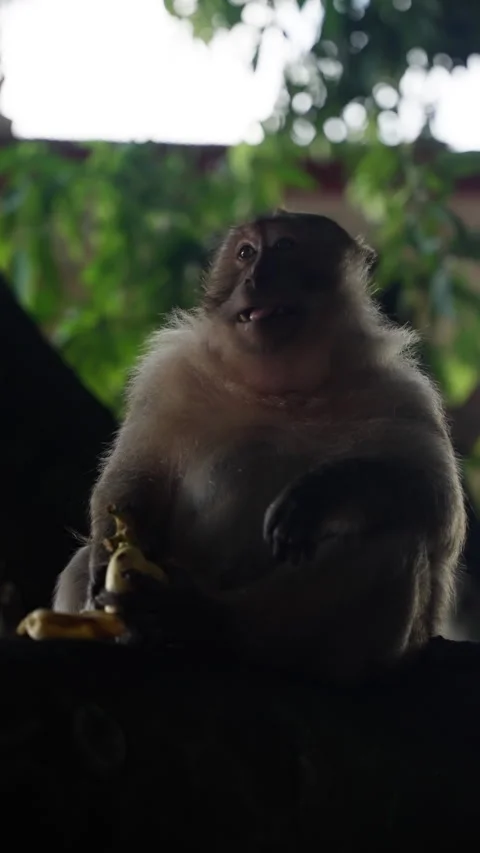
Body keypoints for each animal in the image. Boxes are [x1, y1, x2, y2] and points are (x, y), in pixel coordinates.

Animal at [53, 211, 466, 681]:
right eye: (246, 252)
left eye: (285, 246)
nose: (254, 276)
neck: (283, 389)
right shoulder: (167, 378)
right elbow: (136, 479)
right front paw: (113, 548)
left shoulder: (402, 393)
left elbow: (440, 508)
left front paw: (320, 493)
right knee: (81, 564)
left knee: (395, 543)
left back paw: (201, 620)